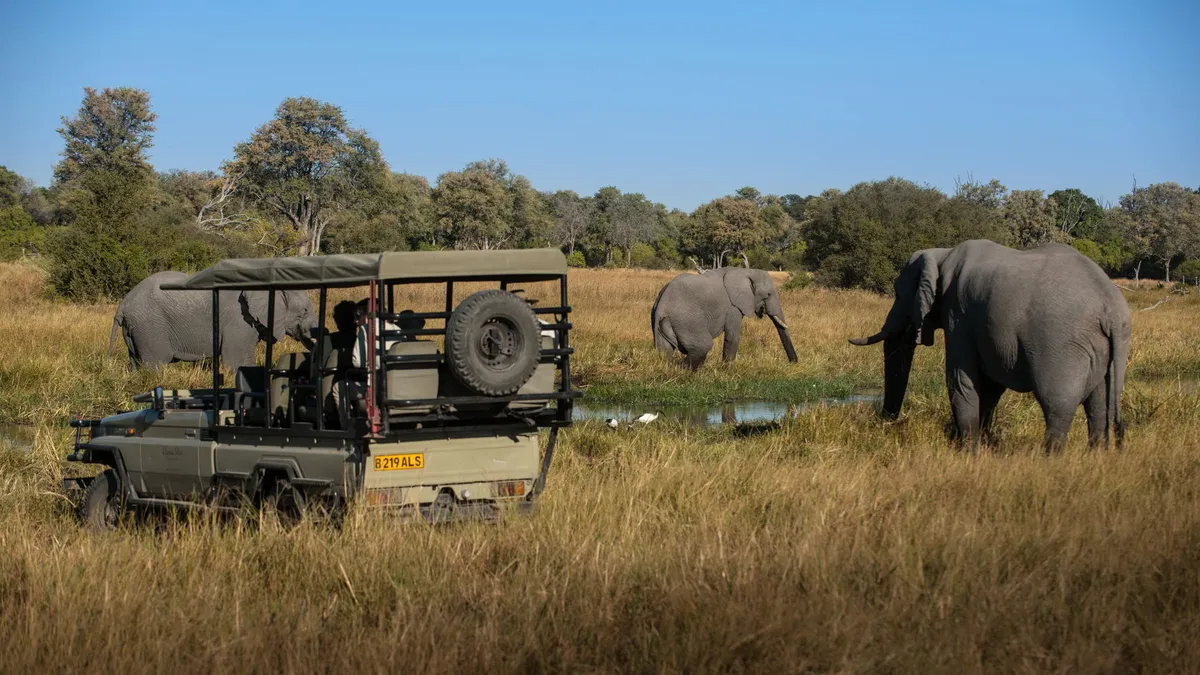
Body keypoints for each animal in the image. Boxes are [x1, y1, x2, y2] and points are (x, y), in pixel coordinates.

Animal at [109, 271, 318, 369]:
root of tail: (123, 305)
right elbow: (237, 361)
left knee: (136, 363)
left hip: (136, 329)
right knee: (156, 364)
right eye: (304, 311)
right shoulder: (239, 321)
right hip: (150, 326)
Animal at [651, 267, 798, 370]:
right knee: (703, 345)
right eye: (768, 295)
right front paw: (727, 369)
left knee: (664, 351)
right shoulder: (733, 307)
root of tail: (661, 306)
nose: (794, 363)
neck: (746, 272)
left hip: (659, 322)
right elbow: (732, 337)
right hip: (687, 320)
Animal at [848, 239, 1131, 452]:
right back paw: (1095, 456)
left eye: (898, 293)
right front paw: (981, 445)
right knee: (1099, 405)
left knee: (1057, 404)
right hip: (1100, 347)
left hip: (1062, 344)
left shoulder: (958, 315)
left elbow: (960, 378)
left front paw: (968, 450)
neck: (942, 254)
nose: (886, 424)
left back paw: (1049, 459)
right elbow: (991, 385)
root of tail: (1111, 308)